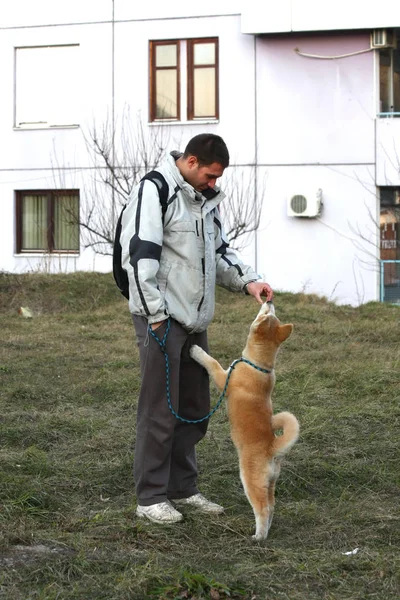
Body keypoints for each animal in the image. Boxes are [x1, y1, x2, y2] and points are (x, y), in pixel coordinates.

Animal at [189, 302, 298, 540]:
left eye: (266, 313)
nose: (269, 300)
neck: (258, 365)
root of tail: (272, 447)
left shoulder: (223, 379)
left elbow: (211, 362)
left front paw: (196, 351)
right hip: (270, 483)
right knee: (271, 506)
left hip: (251, 480)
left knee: (262, 508)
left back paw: (258, 536)